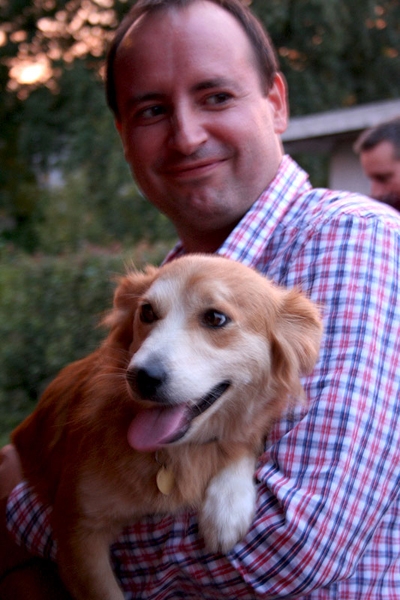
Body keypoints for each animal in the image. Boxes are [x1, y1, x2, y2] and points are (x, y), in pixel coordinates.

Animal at [12, 254, 322, 600]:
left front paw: (227, 505)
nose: (141, 377)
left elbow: (243, 440)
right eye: (146, 311)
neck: (174, 454)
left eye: (215, 318)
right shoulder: (77, 530)